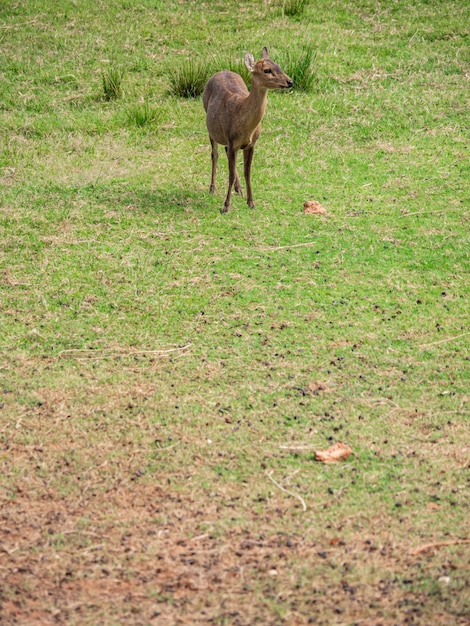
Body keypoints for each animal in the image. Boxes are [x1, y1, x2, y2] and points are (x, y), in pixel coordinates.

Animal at [203, 47, 292, 212]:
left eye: (278, 65)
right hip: (211, 127)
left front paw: (251, 202)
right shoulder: (232, 140)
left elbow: (247, 172)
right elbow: (231, 174)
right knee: (215, 154)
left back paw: (239, 189)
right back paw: (213, 189)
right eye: (267, 70)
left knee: (224, 153)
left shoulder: (251, 144)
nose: (290, 82)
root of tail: (220, 71)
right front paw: (226, 206)